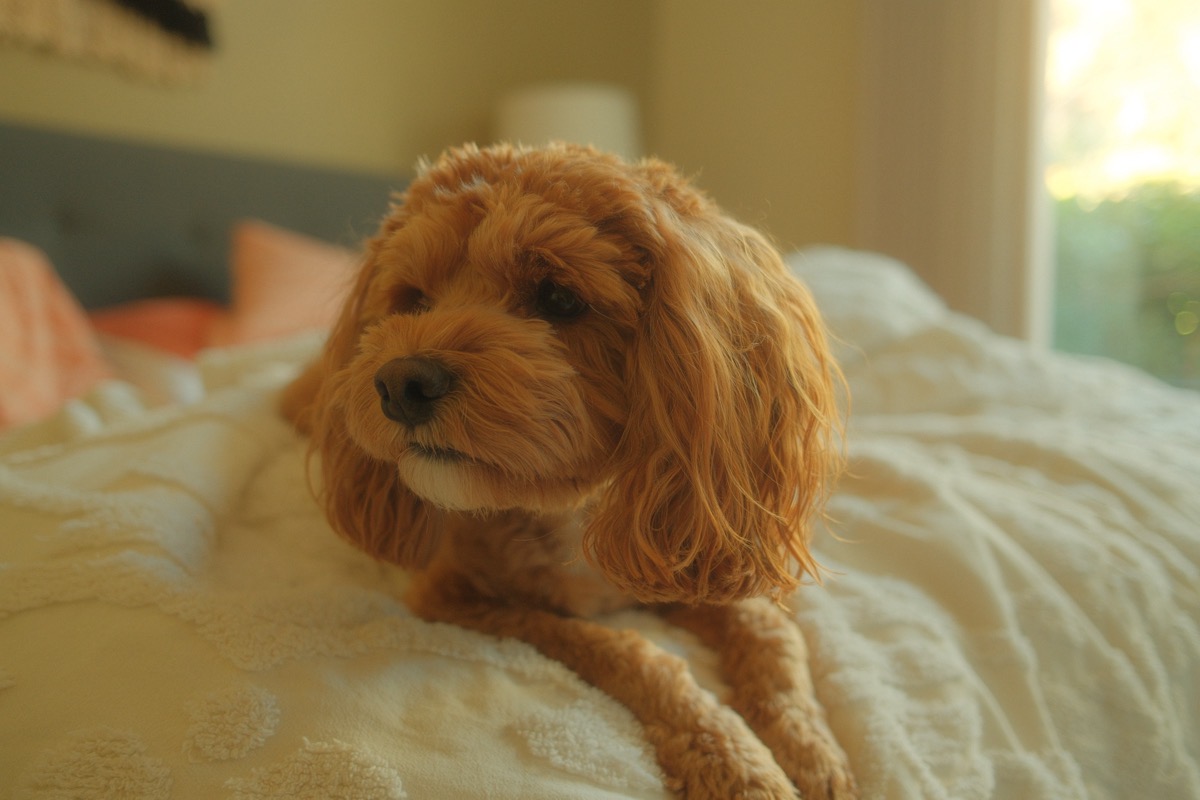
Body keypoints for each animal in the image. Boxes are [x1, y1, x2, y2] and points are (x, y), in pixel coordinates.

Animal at [281, 142, 856, 799]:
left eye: (558, 298)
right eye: (414, 299)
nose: (400, 384)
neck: (568, 507)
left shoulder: (687, 555)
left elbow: (770, 634)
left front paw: (809, 749)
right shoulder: (461, 602)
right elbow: (627, 650)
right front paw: (732, 757)